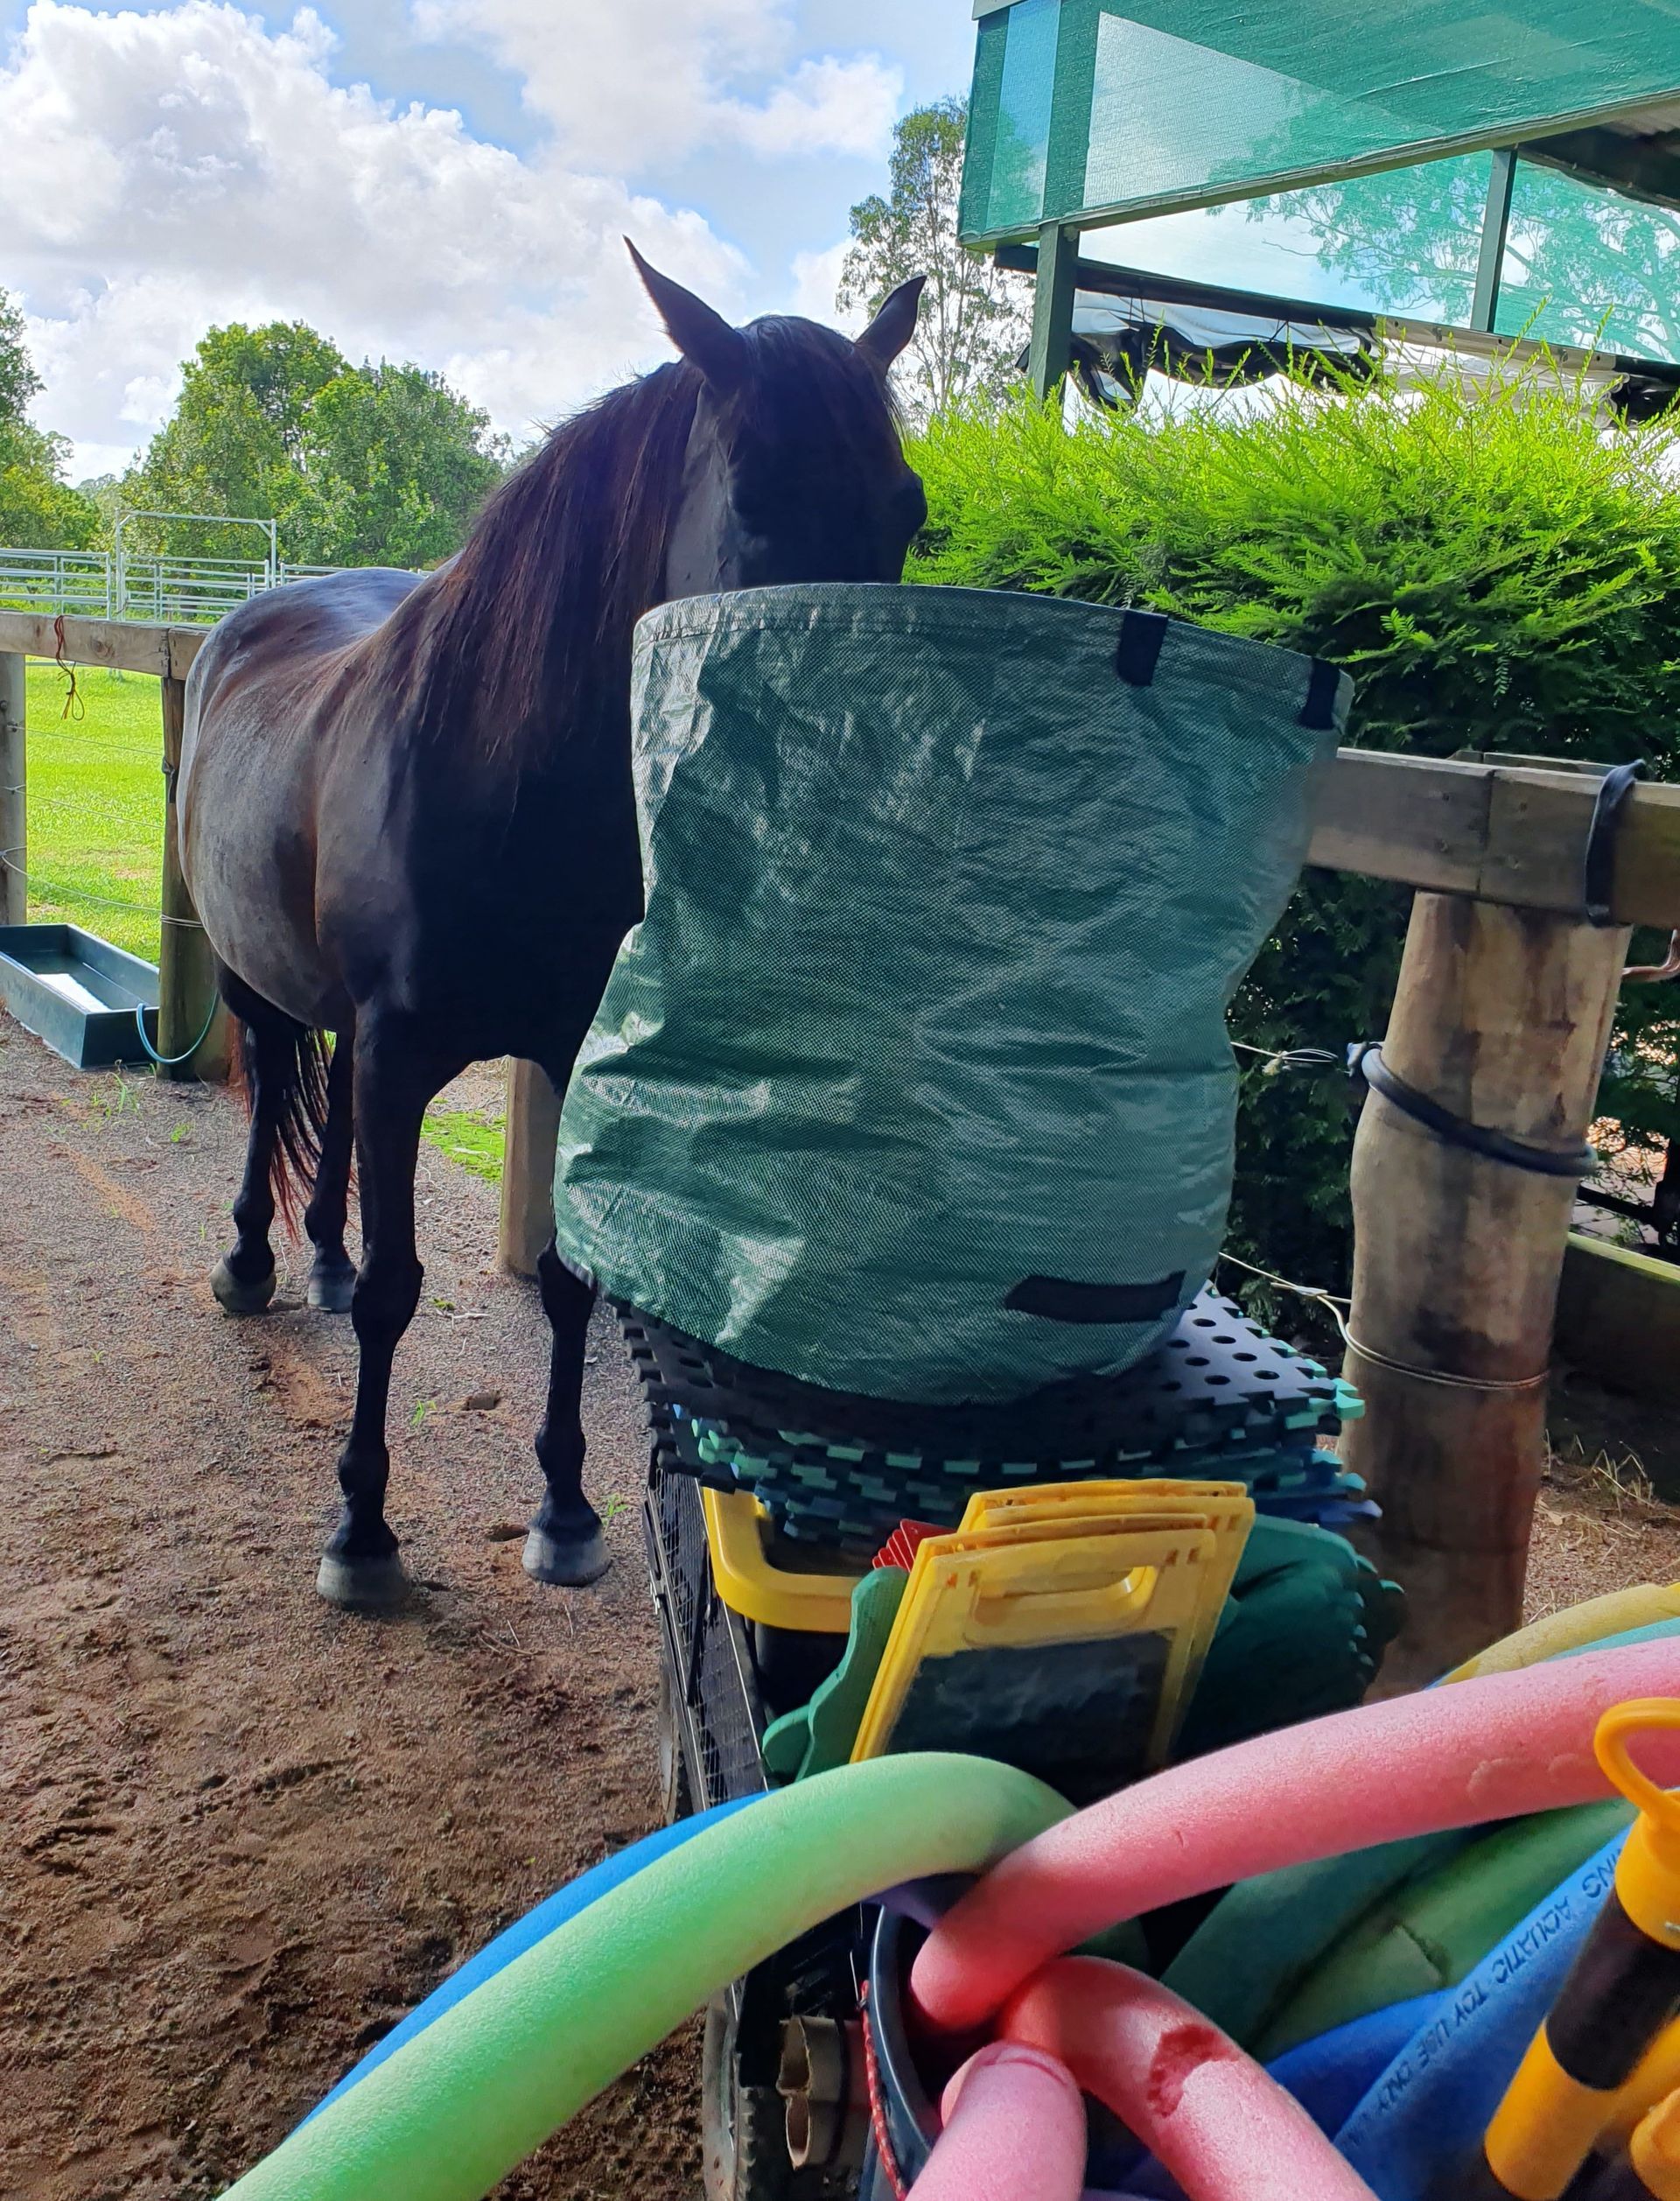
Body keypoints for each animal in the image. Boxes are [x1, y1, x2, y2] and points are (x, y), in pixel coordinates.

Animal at [178, 245, 927, 1608]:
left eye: (907, 510)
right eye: (757, 496)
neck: (504, 785)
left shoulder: (566, 1044)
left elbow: (573, 1287)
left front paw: (566, 1508)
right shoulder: (404, 1051)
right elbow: (397, 1293)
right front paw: (360, 1527)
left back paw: (317, 1256)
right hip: (262, 983)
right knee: (269, 1090)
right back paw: (254, 1262)